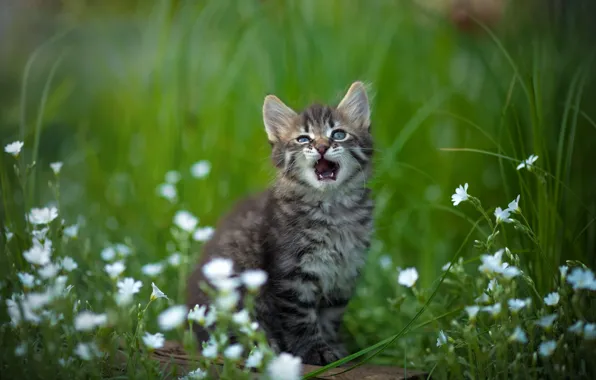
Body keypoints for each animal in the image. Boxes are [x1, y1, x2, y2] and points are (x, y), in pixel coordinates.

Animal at [187, 82, 372, 366]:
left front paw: (334, 347)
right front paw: (315, 351)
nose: (321, 146)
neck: (332, 209)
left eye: (338, 134)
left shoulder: (345, 272)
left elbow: (330, 318)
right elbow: (301, 320)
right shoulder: (290, 275)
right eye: (304, 139)